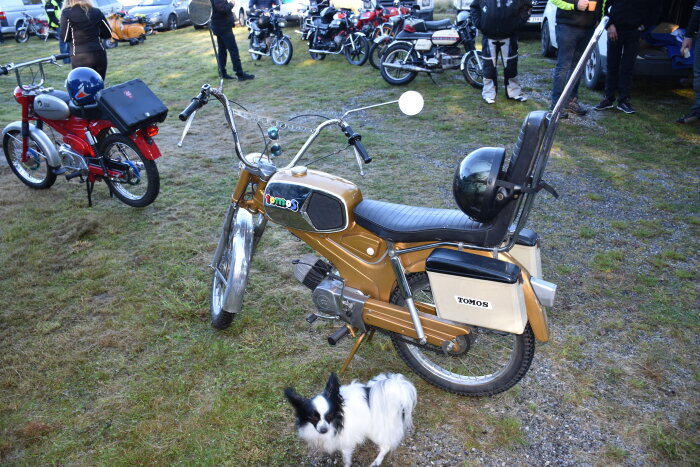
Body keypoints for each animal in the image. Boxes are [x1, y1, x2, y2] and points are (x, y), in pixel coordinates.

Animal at [284, 372, 416, 467]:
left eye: (329, 416)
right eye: (313, 417)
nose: (323, 430)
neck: (336, 422)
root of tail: (396, 389)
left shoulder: (346, 442)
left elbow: (346, 459)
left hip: (376, 430)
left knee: (386, 446)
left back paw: (376, 462)